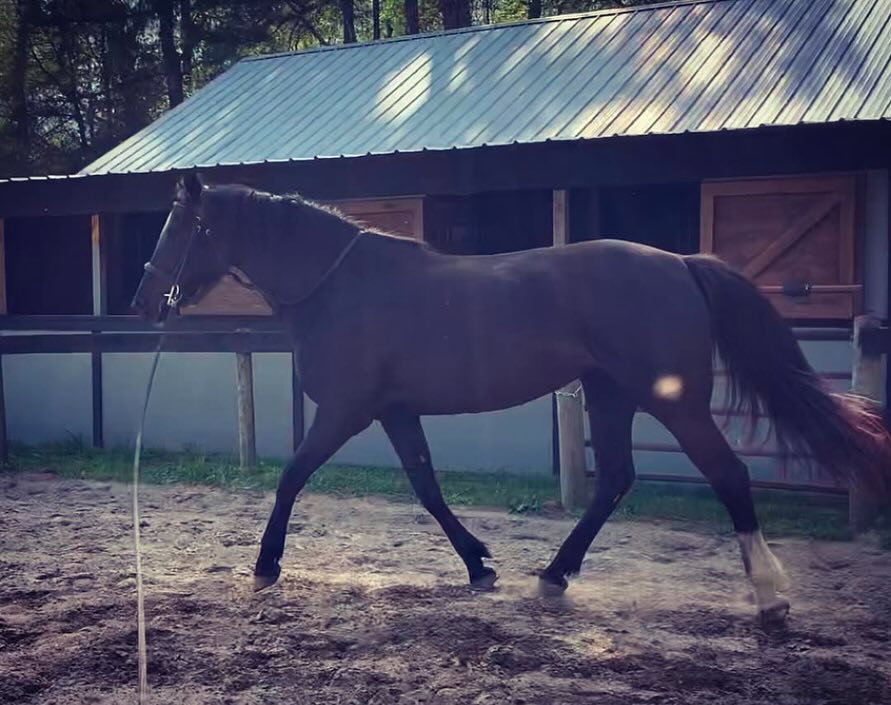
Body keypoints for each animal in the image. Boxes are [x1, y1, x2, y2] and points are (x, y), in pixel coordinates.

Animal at [132, 173, 891, 621]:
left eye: (182, 228)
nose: (144, 300)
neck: (337, 285)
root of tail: (679, 263)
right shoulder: (394, 410)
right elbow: (428, 488)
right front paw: (479, 565)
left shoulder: (346, 410)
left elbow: (291, 476)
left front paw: (265, 566)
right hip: (609, 395)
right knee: (616, 478)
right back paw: (553, 576)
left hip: (672, 402)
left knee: (726, 473)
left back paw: (768, 594)